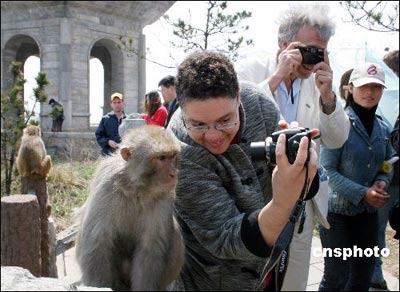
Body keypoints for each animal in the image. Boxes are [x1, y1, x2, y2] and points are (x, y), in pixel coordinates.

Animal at [76, 124, 185, 290]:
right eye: (161, 158)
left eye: (173, 157)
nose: (174, 174)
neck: (137, 188)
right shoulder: (107, 187)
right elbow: (98, 242)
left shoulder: (164, 197)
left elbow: (149, 247)